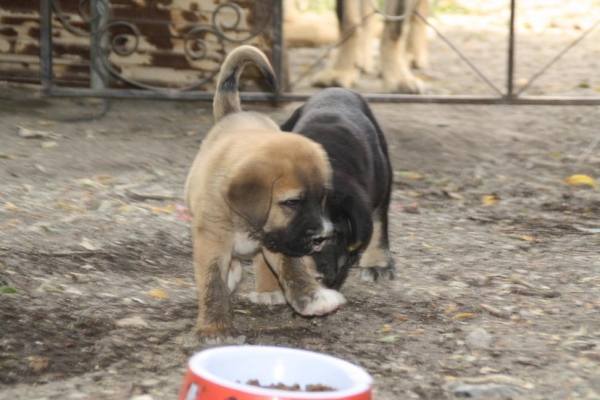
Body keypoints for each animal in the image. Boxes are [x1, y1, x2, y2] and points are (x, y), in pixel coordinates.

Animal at [184, 46, 346, 340]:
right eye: (292, 202)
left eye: (322, 199)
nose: (322, 238)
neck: (246, 222)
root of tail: (234, 114)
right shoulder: (211, 238)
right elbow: (212, 280)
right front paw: (216, 328)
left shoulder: (283, 238)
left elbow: (292, 267)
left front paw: (313, 297)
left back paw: (268, 290)